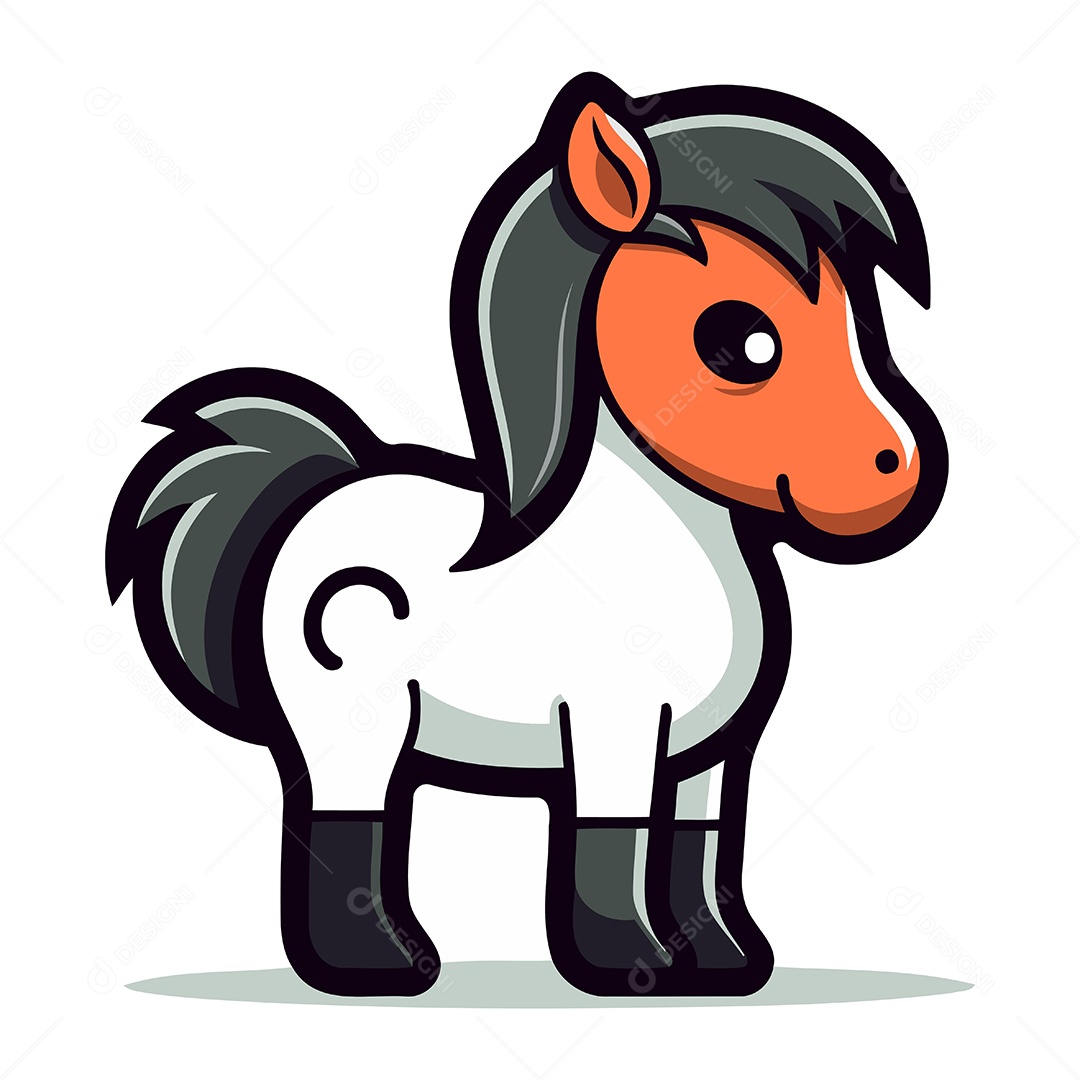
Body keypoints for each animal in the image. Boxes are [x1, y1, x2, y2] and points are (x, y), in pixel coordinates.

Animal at [106, 72, 947, 998]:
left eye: (856, 315)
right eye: (738, 340)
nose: (895, 472)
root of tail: (317, 492)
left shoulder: (707, 756)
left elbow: (696, 851)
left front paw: (723, 964)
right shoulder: (617, 728)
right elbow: (612, 843)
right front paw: (631, 966)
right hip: (352, 722)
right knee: (348, 816)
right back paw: (382, 964)